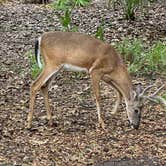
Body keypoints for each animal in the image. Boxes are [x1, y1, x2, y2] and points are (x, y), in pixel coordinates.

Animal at [26, 31, 165, 130]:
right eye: (137, 109)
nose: (136, 126)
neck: (115, 65)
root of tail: (40, 38)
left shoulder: (107, 77)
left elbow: (119, 93)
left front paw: (112, 113)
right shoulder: (95, 71)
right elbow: (98, 97)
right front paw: (102, 123)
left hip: (57, 67)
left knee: (44, 86)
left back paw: (50, 121)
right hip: (52, 63)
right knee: (35, 85)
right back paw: (29, 124)